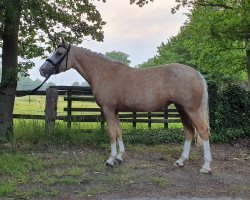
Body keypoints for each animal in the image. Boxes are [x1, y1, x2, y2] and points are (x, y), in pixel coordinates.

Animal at [40, 38, 212, 173]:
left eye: (58, 53)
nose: (42, 70)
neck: (103, 72)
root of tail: (197, 73)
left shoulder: (108, 109)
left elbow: (111, 133)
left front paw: (110, 160)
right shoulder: (115, 110)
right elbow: (118, 132)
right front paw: (119, 157)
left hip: (191, 110)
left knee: (203, 131)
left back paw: (206, 166)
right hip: (181, 109)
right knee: (189, 131)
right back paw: (181, 161)